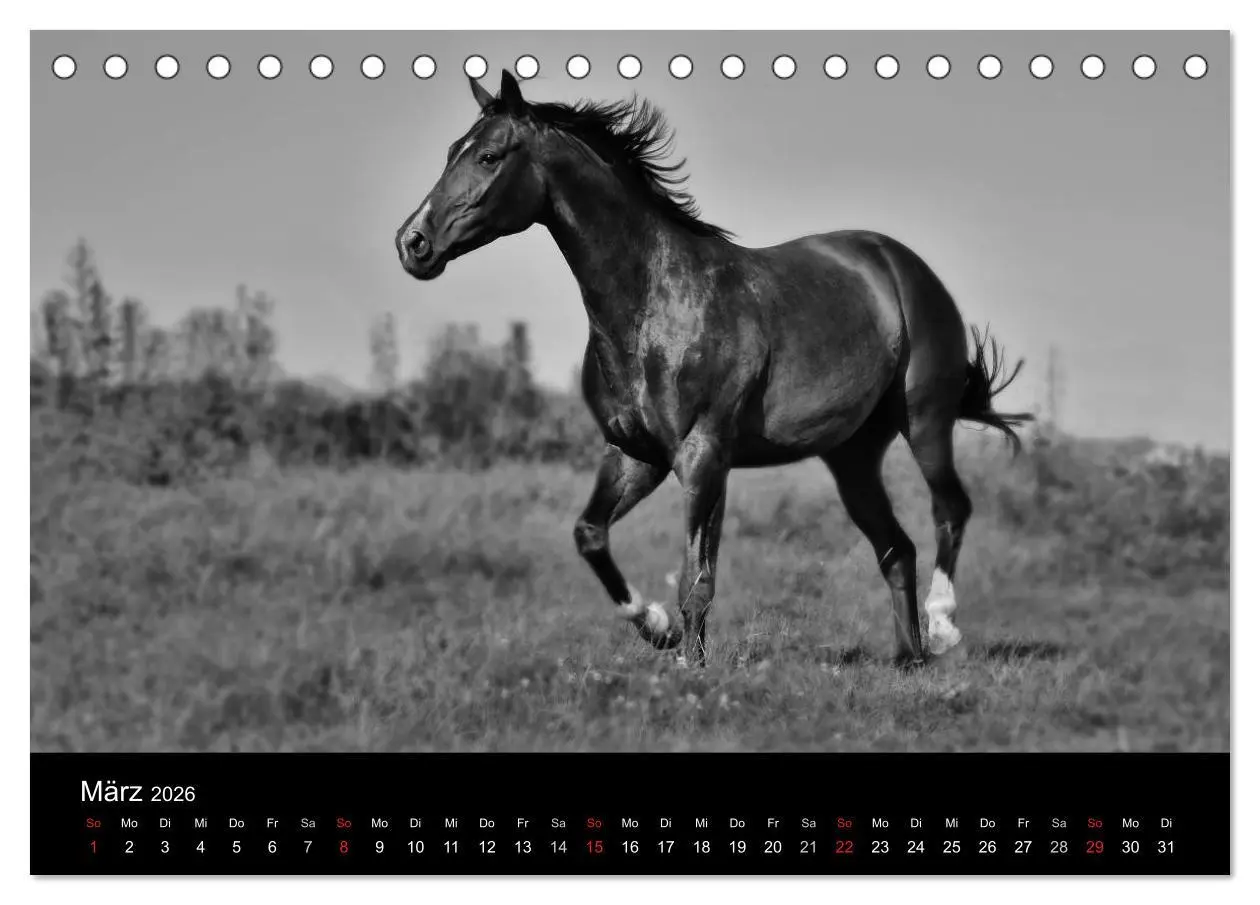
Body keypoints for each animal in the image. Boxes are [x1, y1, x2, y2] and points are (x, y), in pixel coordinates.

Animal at [395, 70, 1030, 666]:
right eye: (452, 149)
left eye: (488, 156)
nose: (413, 243)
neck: (654, 306)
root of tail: (901, 263)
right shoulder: (636, 455)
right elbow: (590, 535)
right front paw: (657, 628)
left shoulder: (703, 456)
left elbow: (697, 580)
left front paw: (691, 667)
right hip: (851, 456)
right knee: (897, 548)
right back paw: (908, 658)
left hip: (924, 420)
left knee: (949, 509)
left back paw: (943, 628)